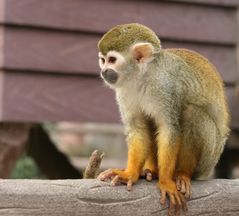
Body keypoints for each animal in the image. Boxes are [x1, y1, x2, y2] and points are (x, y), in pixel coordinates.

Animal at [96, 22, 230, 215]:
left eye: (112, 60)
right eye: (102, 60)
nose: (104, 71)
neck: (141, 76)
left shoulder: (166, 87)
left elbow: (169, 129)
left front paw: (166, 182)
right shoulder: (123, 91)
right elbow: (138, 128)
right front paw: (129, 174)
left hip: (210, 158)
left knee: (193, 113)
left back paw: (182, 173)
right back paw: (152, 171)